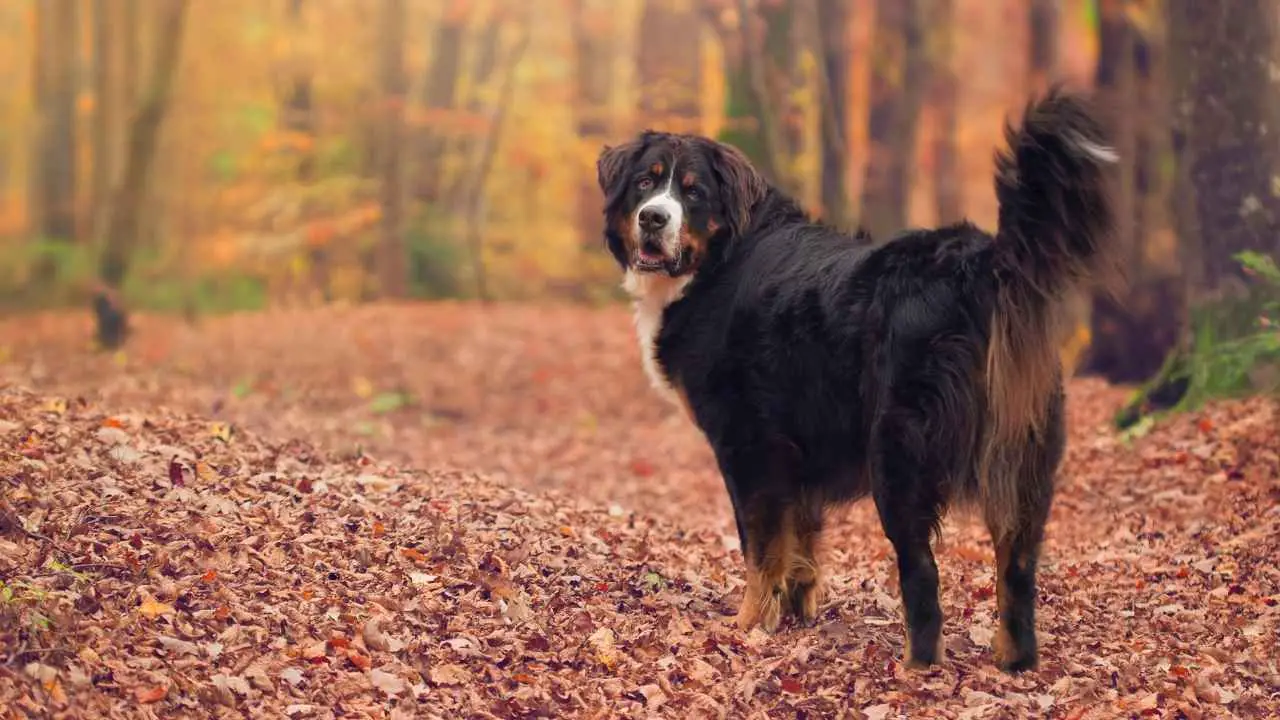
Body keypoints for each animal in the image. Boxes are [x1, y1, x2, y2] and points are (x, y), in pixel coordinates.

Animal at [593, 87, 1116, 671]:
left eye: (693, 192)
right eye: (645, 183)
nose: (654, 219)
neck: (720, 261)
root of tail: (980, 262)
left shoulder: (749, 447)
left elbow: (760, 548)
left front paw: (747, 626)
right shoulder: (795, 454)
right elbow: (800, 543)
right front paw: (794, 616)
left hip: (899, 456)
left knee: (922, 573)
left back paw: (918, 667)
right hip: (1024, 455)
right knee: (1018, 568)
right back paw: (1014, 661)